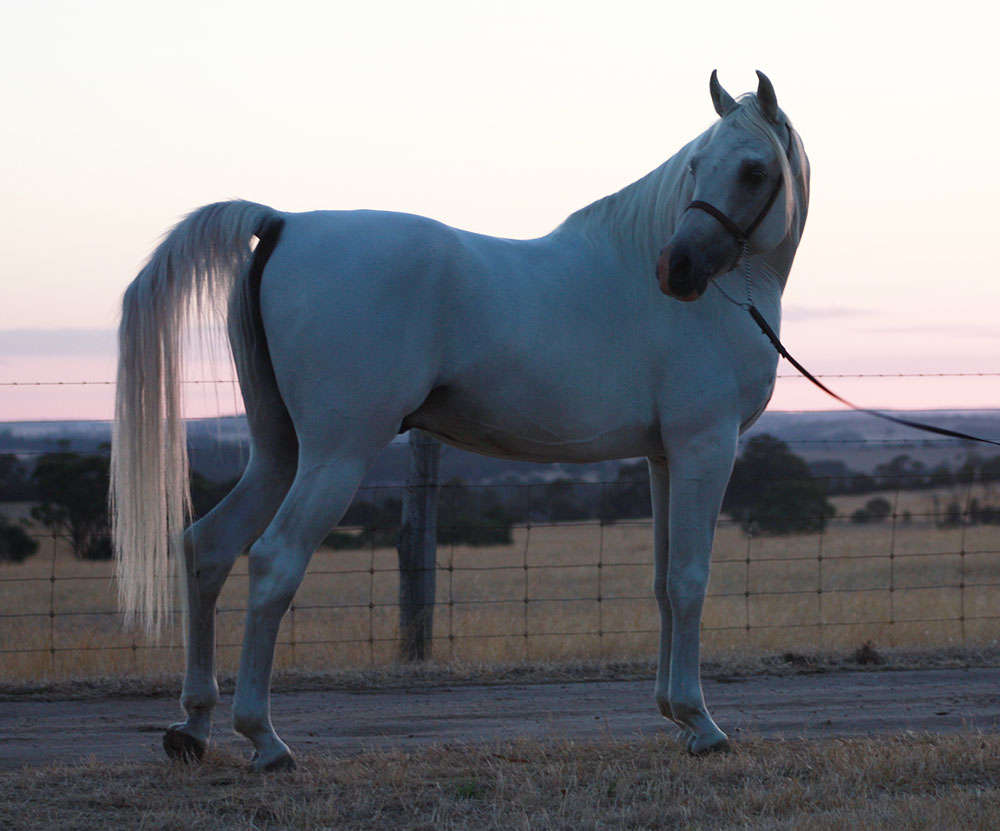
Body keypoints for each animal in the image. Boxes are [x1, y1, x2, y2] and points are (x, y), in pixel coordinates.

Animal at [111, 71, 812, 772]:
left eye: (753, 170)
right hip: (337, 456)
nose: (677, 269)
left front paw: (674, 714)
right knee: (274, 560)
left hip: (278, 452)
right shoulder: (704, 447)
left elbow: (665, 582)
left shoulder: (664, 456)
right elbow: (690, 579)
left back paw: (193, 726)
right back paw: (264, 737)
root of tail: (283, 222)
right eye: (696, 166)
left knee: (208, 546)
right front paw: (702, 724)